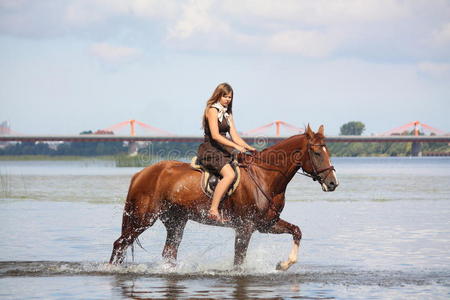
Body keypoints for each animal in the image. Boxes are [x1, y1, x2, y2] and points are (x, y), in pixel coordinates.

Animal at [110, 124, 340, 270]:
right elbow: (238, 262)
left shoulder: (267, 224)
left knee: (168, 252)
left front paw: (283, 264)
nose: (332, 183)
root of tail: (142, 173)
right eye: (317, 153)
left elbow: (297, 231)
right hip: (143, 218)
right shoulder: (245, 228)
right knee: (120, 244)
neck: (265, 176)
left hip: (175, 221)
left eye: (328, 151)